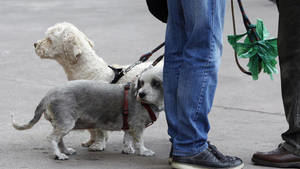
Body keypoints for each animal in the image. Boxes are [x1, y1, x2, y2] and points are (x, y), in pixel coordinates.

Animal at [33, 22, 163, 151]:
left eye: (49, 39)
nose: (35, 44)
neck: (87, 70)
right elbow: (92, 129)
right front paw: (91, 142)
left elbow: (98, 130)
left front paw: (98, 145)